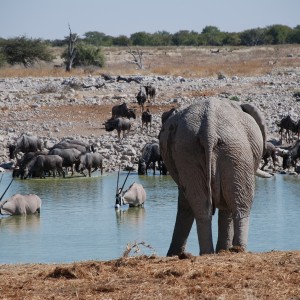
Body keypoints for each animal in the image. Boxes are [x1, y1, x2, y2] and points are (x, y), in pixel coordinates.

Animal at [159, 97, 272, 256]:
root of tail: (209, 131)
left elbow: (186, 203)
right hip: (236, 151)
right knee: (241, 205)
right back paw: (238, 250)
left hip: (188, 152)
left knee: (202, 207)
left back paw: (209, 253)